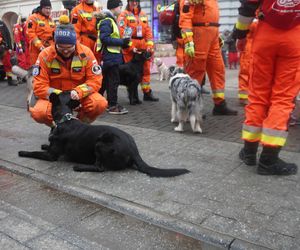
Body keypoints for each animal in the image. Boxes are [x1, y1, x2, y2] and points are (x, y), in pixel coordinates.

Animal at [18, 92, 190, 178]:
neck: (65, 118)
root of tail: (134, 150)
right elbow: (45, 146)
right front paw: (45, 144)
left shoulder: (51, 156)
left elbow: (34, 153)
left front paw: (23, 152)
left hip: (101, 143)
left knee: (100, 168)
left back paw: (80, 167)